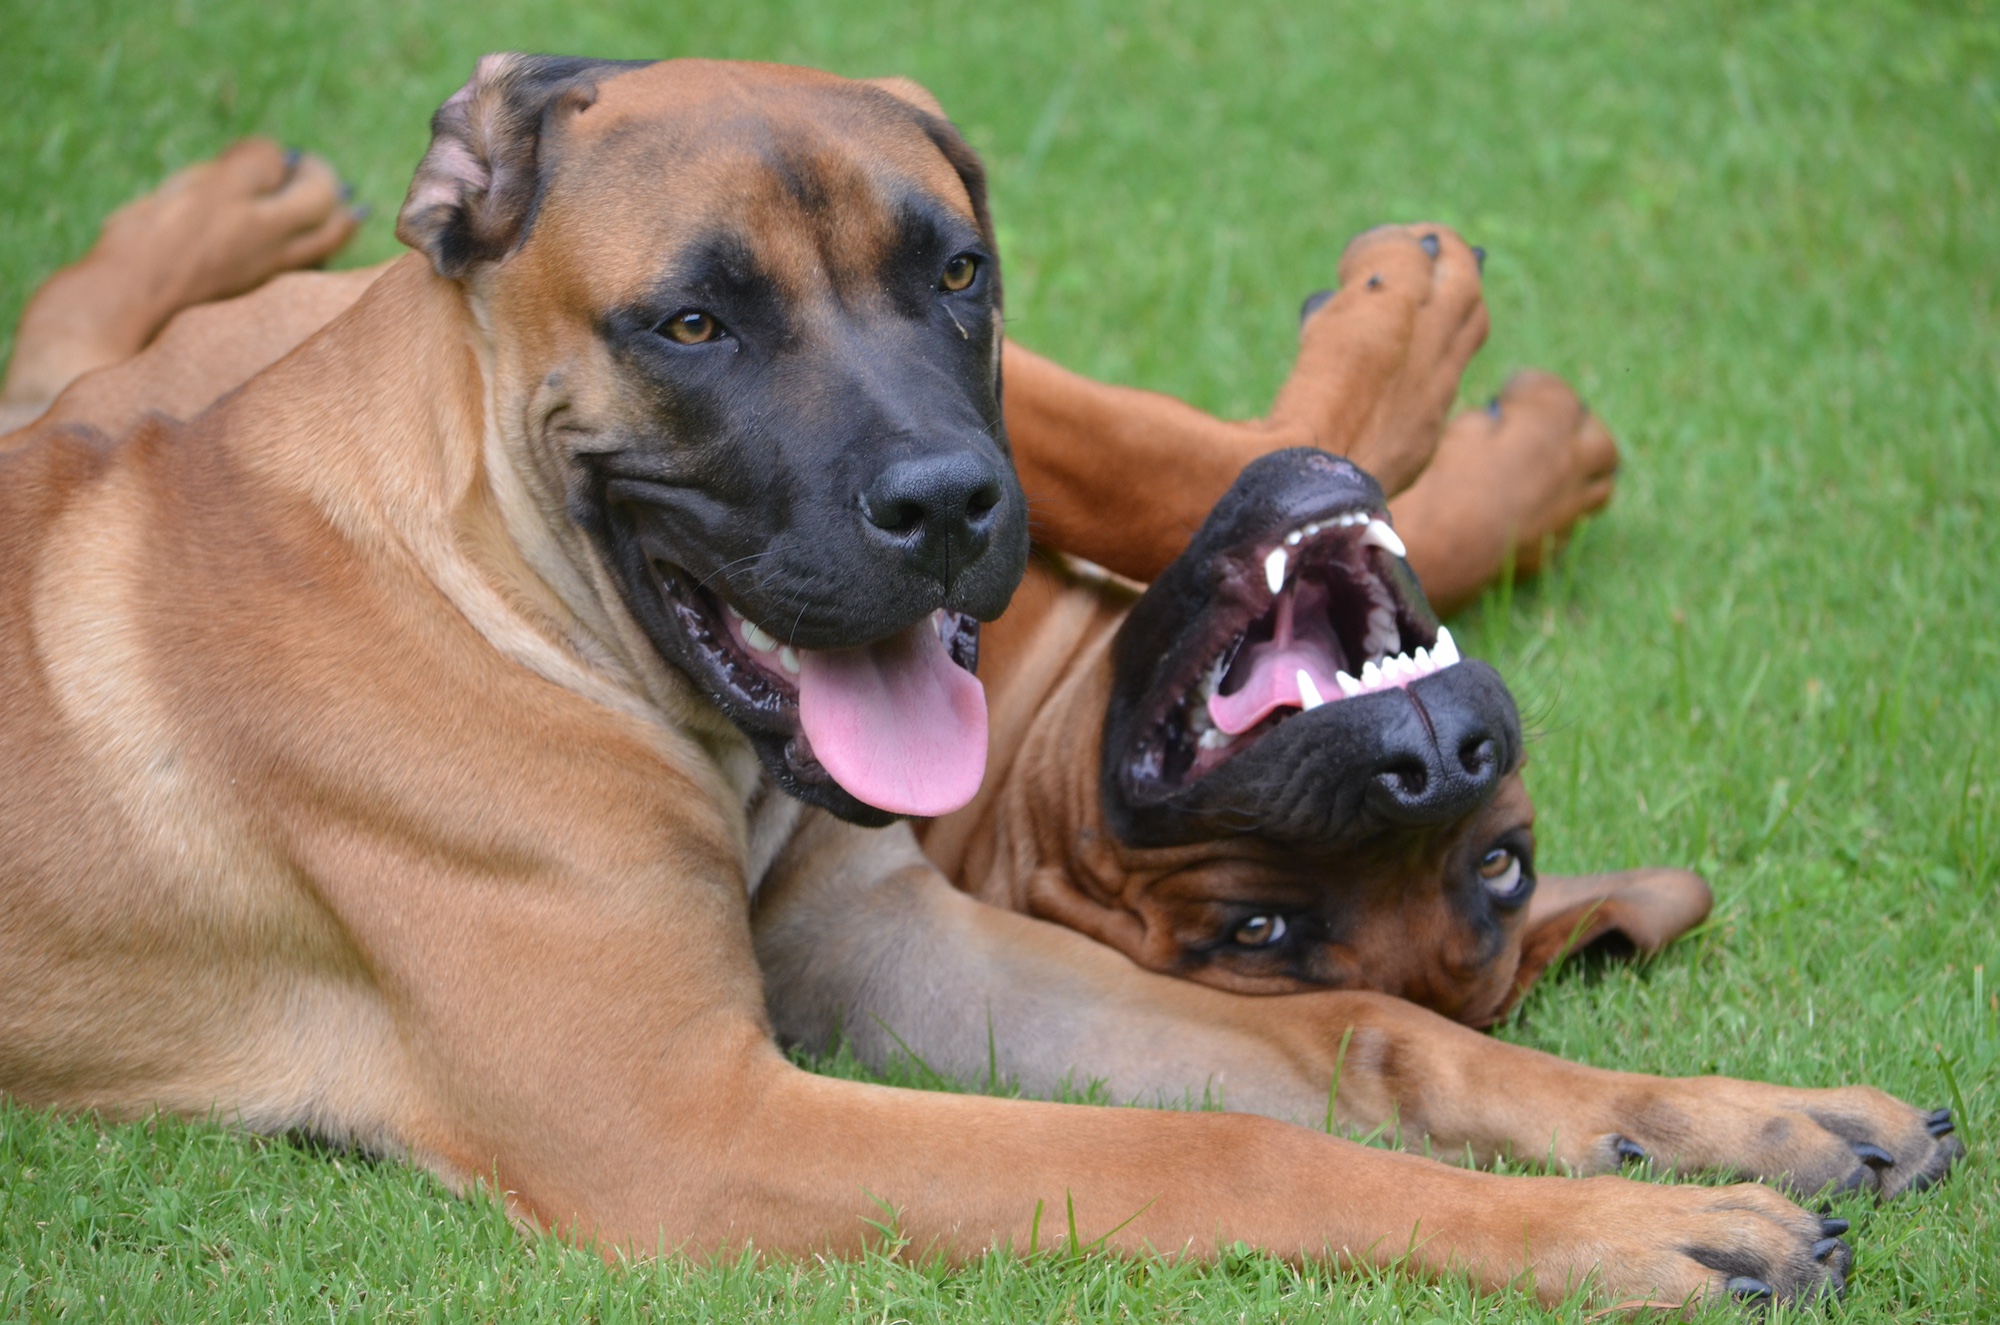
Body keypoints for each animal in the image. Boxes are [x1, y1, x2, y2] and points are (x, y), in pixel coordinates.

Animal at [0, 54, 1952, 1320]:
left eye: (956, 273)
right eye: (692, 324)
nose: (948, 505)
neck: (500, 574)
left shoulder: (910, 950)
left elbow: (1367, 1039)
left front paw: (1722, 1125)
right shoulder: (690, 1126)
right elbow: (1219, 1159)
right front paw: (1616, 1237)